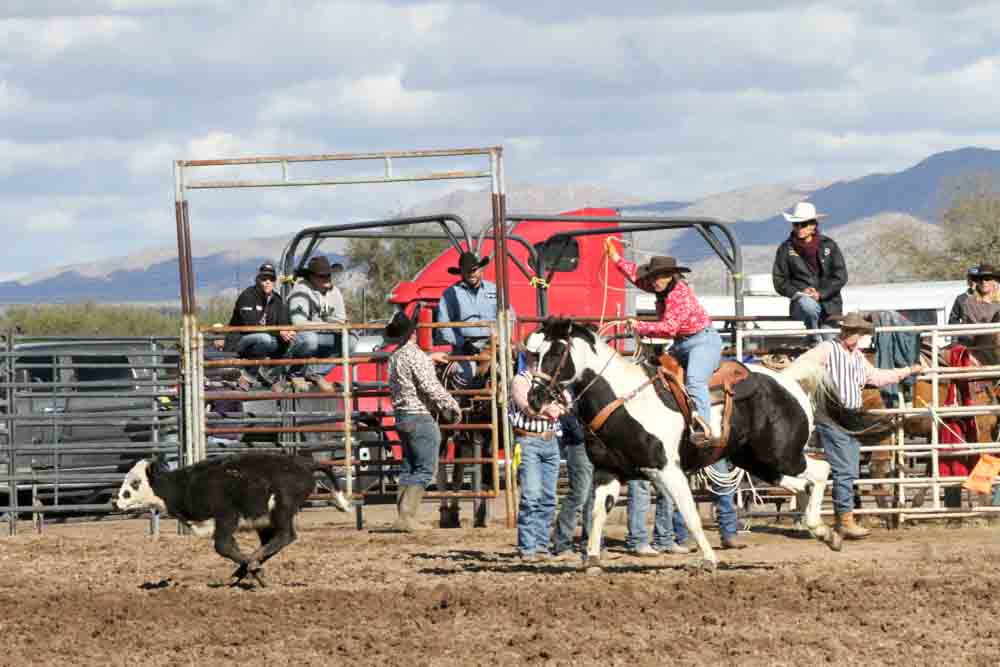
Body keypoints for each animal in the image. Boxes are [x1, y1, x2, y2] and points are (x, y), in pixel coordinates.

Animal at [114, 454, 352, 584]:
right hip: (264, 520)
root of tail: (304, 465)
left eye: (135, 483)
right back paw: (246, 570)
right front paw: (249, 571)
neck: (186, 485)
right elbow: (232, 547)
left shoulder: (226, 517)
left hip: (282, 508)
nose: (115, 502)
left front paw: (251, 568)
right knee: (271, 542)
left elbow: (223, 547)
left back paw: (252, 565)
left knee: (286, 535)